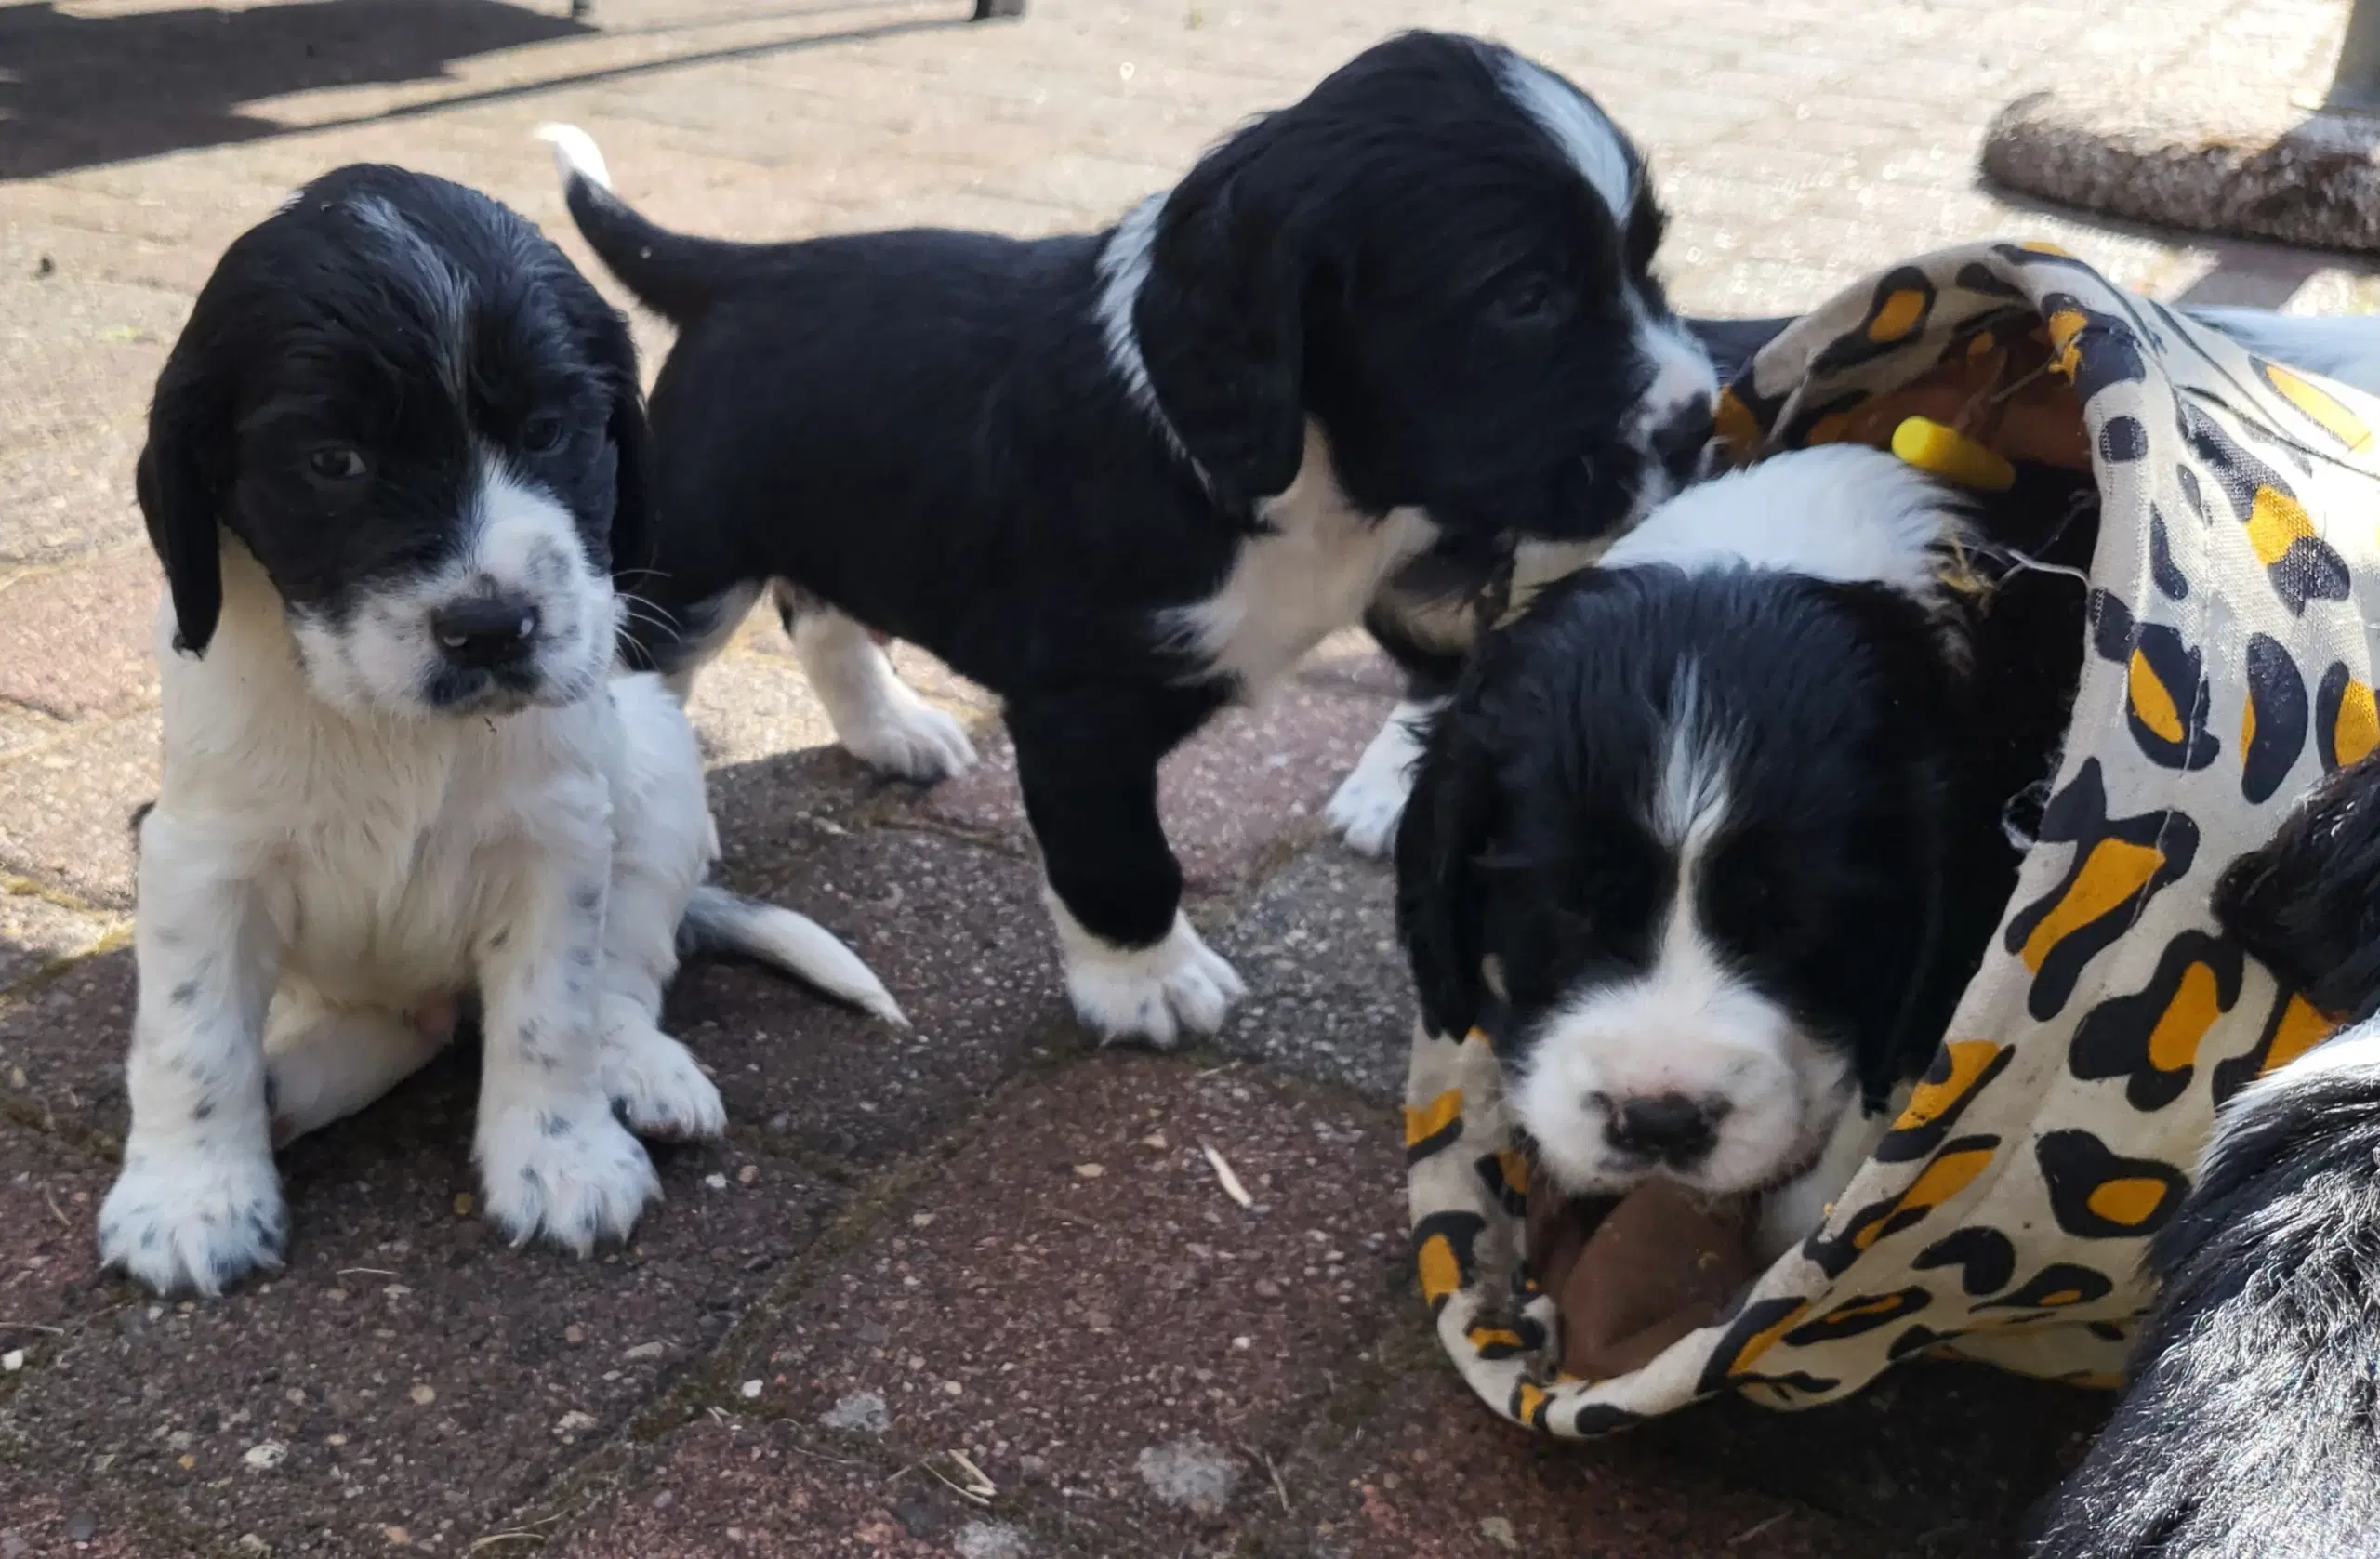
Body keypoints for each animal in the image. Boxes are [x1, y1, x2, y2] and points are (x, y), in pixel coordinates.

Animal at [99, 164, 899, 1294]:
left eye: (549, 432)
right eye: (334, 460)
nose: (490, 627)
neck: (389, 724)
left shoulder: (554, 842)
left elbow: (550, 1012)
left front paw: (563, 1160)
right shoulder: (201, 858)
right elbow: (192, 1031)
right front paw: (192, 1198)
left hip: (658, 768)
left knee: (626, 971)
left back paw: (640, 1069)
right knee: (389, 1027)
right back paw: (289, 1085)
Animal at [537, 27, 1713, 1047]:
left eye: (1649, 261)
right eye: (1526, 297)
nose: (1699, 424)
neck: (1311, 481)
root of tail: (740, 267)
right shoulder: (1080, 703)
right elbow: (1119, 857)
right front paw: (1150, 984)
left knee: (820, 608)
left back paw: (892, 727)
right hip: (694, 554)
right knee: (653, 663)